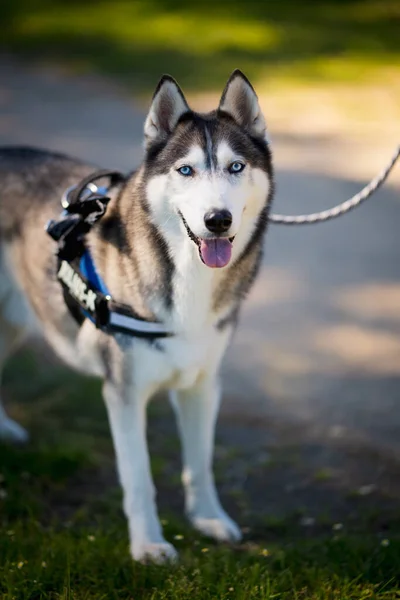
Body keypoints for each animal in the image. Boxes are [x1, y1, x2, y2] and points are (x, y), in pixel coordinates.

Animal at [0, 70, 274, 564]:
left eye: (236, 167)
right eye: (185, 170)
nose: (218, 219)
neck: (186, 279)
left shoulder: (203, 383)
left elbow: (200, 464)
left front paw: (209, 519)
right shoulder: (124, 393)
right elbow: (139, 478)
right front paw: (149, 544)